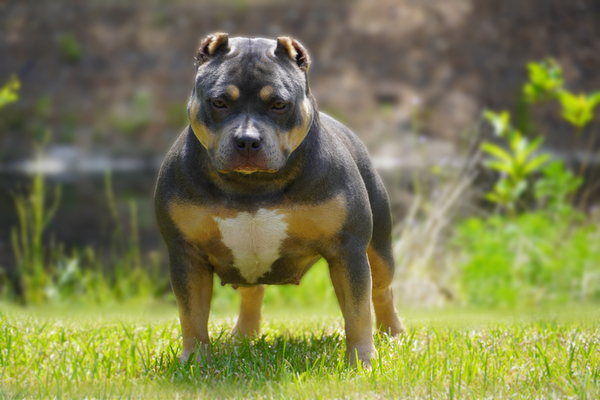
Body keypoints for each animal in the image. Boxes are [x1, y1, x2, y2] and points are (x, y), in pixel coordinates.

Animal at [155, 32, 406, 368]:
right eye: (219, 103)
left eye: (278, 104)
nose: (247, 141)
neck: (252, 185)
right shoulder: (186, 253)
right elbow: (192, 315)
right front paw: (195, 362)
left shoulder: (348, 249)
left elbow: (357, 311)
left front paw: (361, 361)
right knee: (252, 293)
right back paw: (243, 337)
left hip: (379, 249)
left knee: (382, 290)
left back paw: (393, 333)